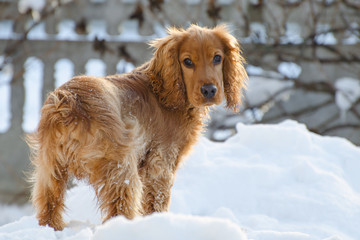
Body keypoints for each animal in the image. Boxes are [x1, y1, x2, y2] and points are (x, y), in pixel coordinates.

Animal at [27, 24, 248, 231]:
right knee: (118, 208)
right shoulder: (160, 165)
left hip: (51, 168)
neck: (164, 90)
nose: (209, 90)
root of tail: (70, 103)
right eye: (187, 62)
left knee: (49, 204)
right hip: (121, 169)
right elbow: (157, 203)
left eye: (217, 58)